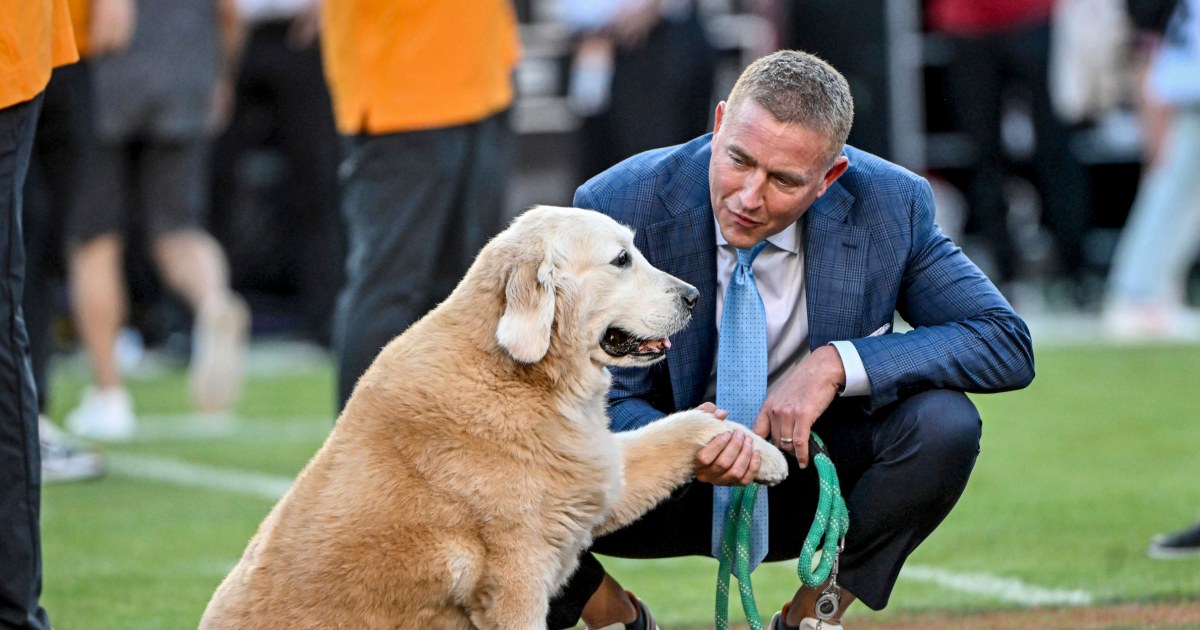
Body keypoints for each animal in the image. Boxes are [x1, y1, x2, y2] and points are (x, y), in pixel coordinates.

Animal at [199, 204, 787, 624]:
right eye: (621, 260)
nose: (694, 296)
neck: (519, 375)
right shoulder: (517, 579)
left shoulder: (599, 480)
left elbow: (685, 425)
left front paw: (760, 451)